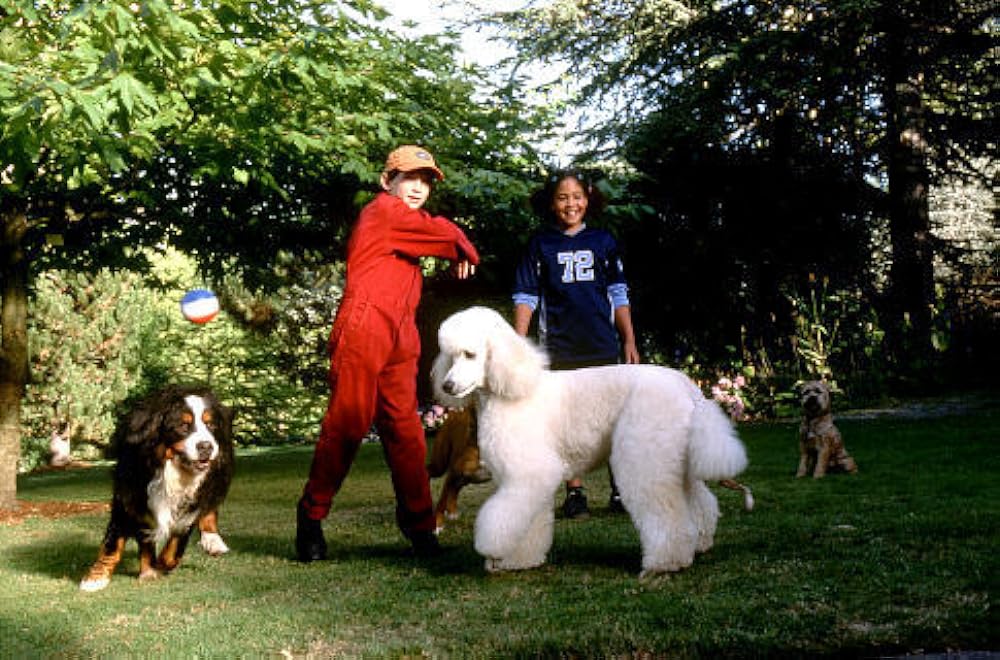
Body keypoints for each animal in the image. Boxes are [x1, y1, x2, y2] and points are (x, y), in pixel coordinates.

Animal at [80, 384, 236, 592]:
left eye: (211, 426)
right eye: (183, 426)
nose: (206, 446)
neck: (170, 471)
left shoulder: (187, 506)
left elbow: (175, 547)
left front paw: (162, 564)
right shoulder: (129, 497)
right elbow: (113, 544)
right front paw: (95, 577)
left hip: (218, 471)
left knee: (209, 505)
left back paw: (212, 539)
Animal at [428, 404, 494, 532]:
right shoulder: (454, 472)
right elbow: (441, 502)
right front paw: (437, 525)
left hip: (466, 478)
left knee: (455, 488)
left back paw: (452, 512)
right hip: (439, 466)